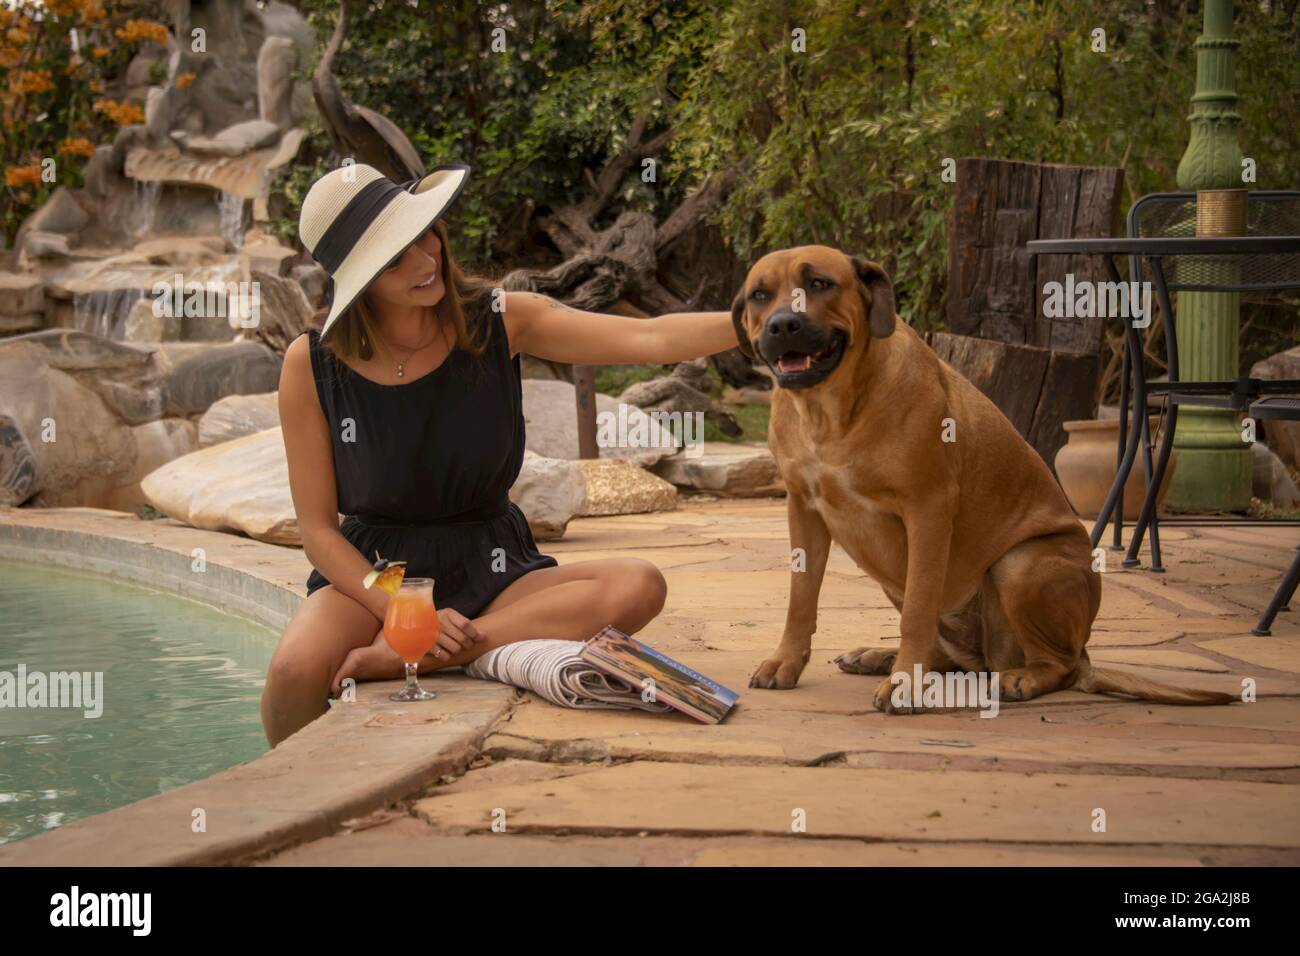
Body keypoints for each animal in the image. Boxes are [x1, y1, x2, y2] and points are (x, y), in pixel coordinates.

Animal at [738, 244, 1232, 712]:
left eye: (820, 283)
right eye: (760, 295)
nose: (783, 325)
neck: (830, 410)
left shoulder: (928, 509)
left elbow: (917, 611)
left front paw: (906, 684)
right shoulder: (803, 509)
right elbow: (801, 599)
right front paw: (787, 662)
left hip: (1020, 566)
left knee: (1062, 665)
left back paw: (1019, 678)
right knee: (955, 657)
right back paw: (879, 656)